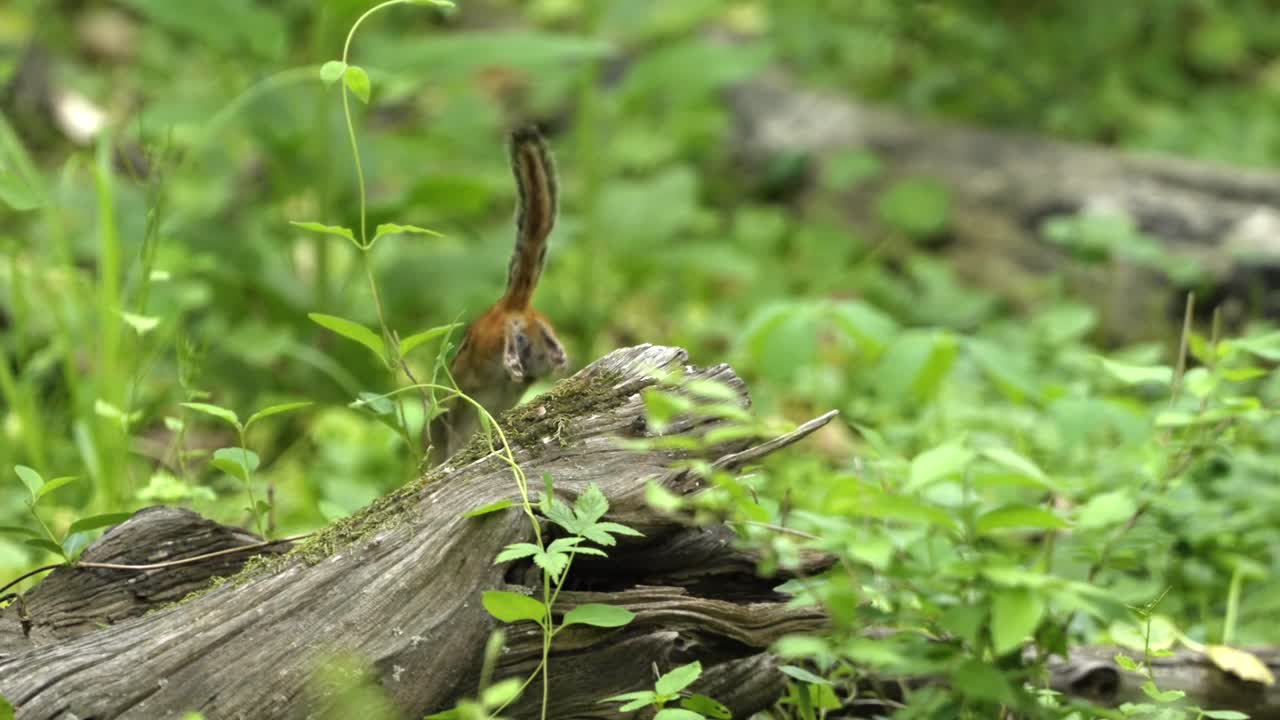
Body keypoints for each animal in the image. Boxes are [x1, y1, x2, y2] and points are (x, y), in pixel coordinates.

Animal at [426, 126, 568, 465]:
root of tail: (512, 304)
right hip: (538, 336)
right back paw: (555, 356)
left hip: (494, 340)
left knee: (506, 347)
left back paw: (513, 361)